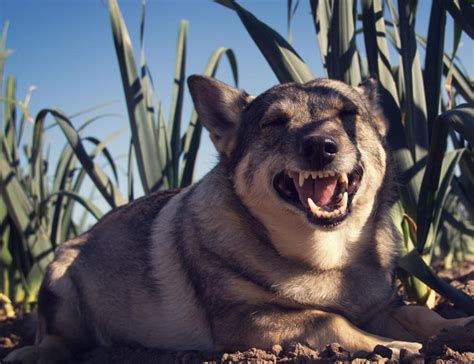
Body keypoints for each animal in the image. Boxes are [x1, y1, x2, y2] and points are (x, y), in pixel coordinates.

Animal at [5, 75, 472, 362]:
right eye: (274, 123)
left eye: (348, 115)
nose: (320, 146)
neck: (327, 257)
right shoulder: (249, 322)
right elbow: (328, 320)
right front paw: (393, 346)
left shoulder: (382, 304)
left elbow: (421, 315)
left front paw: (457, 325)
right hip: (59, 274)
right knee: (56, 339)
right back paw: (31, 352)